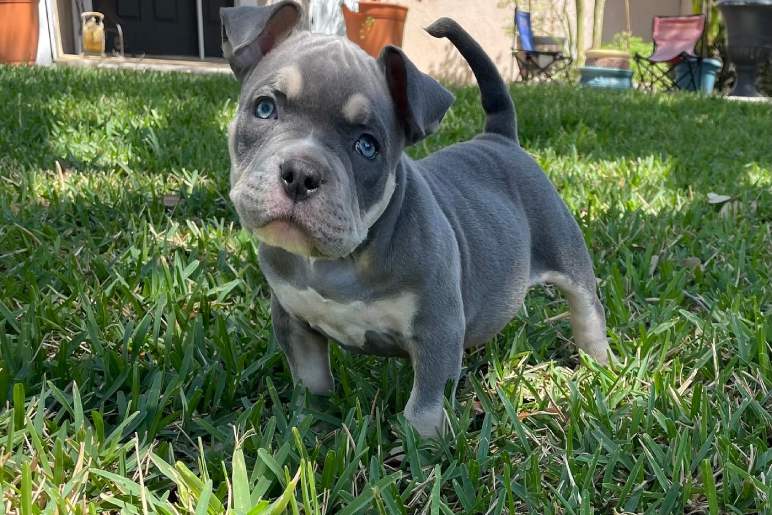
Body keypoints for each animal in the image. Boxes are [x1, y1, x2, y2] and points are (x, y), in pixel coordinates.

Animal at [220, 1, 612, 436]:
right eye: (265, 108)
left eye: (367, 146)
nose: (301, 174)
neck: (338, 260)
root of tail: (500, 138)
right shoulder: (293, 320)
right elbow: (311, 380)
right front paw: (308, 423)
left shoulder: (437, 329)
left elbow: (423, 407)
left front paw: (420, 445)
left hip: (566, 252)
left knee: (587, 310)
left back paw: (600, 365)